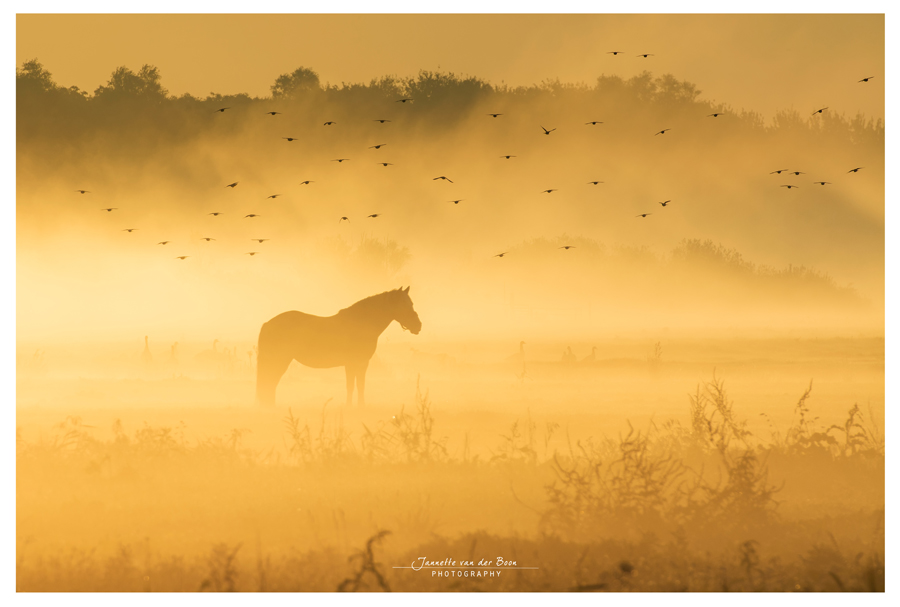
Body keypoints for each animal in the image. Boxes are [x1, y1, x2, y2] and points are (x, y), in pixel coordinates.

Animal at [255, 287, 422, 407]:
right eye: (404, 305)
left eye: (411, 304)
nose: (418, 326)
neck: (361, 323)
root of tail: (268, 323)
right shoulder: (353, 364)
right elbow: (351, 386)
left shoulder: (361, 364)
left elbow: (359, 386)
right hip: (279, 361)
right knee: (269, 383)